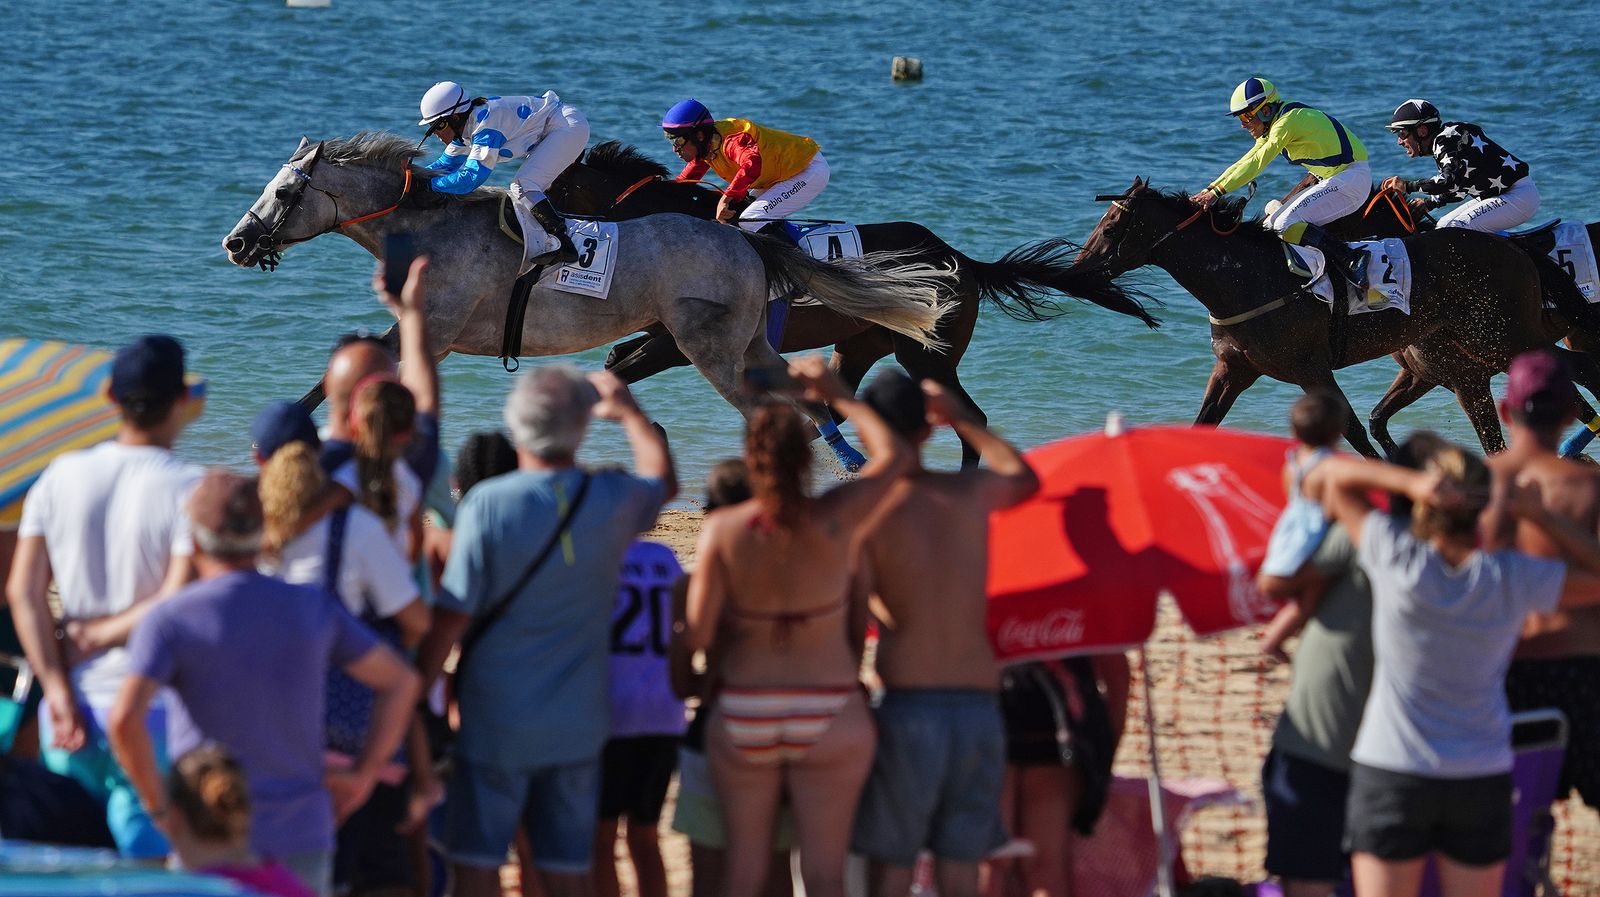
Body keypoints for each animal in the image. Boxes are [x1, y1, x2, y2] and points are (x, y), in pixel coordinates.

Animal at [221, 133, 954, 437]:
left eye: (283, 192)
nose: (235, 242)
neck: (428, 228)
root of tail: (744, 237)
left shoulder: (435, 332)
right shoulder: (419, 327)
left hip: (709, 348)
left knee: (773, 414)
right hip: (751, 345)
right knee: (812, 410)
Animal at [547, 140, 1162, 467]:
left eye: (555, 184)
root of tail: (960, 258)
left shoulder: (683, 342)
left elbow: (620, 367)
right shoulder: (669, 335)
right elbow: (616, 360)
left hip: (927, 355)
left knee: (972, 417)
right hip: (862, 344)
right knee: (842, 403)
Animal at [1057, 178, 1600, 457]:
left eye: (1111, 227)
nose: (1077, 273)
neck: (1246, 277)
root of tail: (1518, 251)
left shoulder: (1312, 368)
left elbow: (1355, 432)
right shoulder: (1235, 369)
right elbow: (1202, 424)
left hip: (1502, 337)